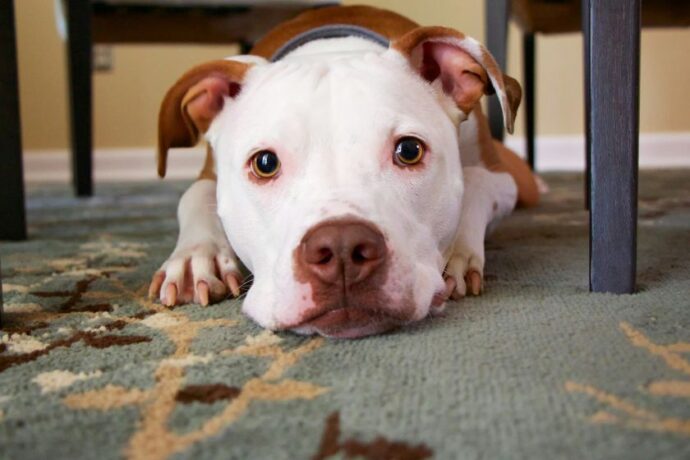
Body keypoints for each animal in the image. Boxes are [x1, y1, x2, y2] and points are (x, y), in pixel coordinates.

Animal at [149, 5, 536, 340]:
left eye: (409, 150)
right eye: (265, 163)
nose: (342, 248)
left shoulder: (503, 178)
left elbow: (476, 182)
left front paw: (457, 251)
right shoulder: (208, 175)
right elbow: (193, 195)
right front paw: (196, 258)